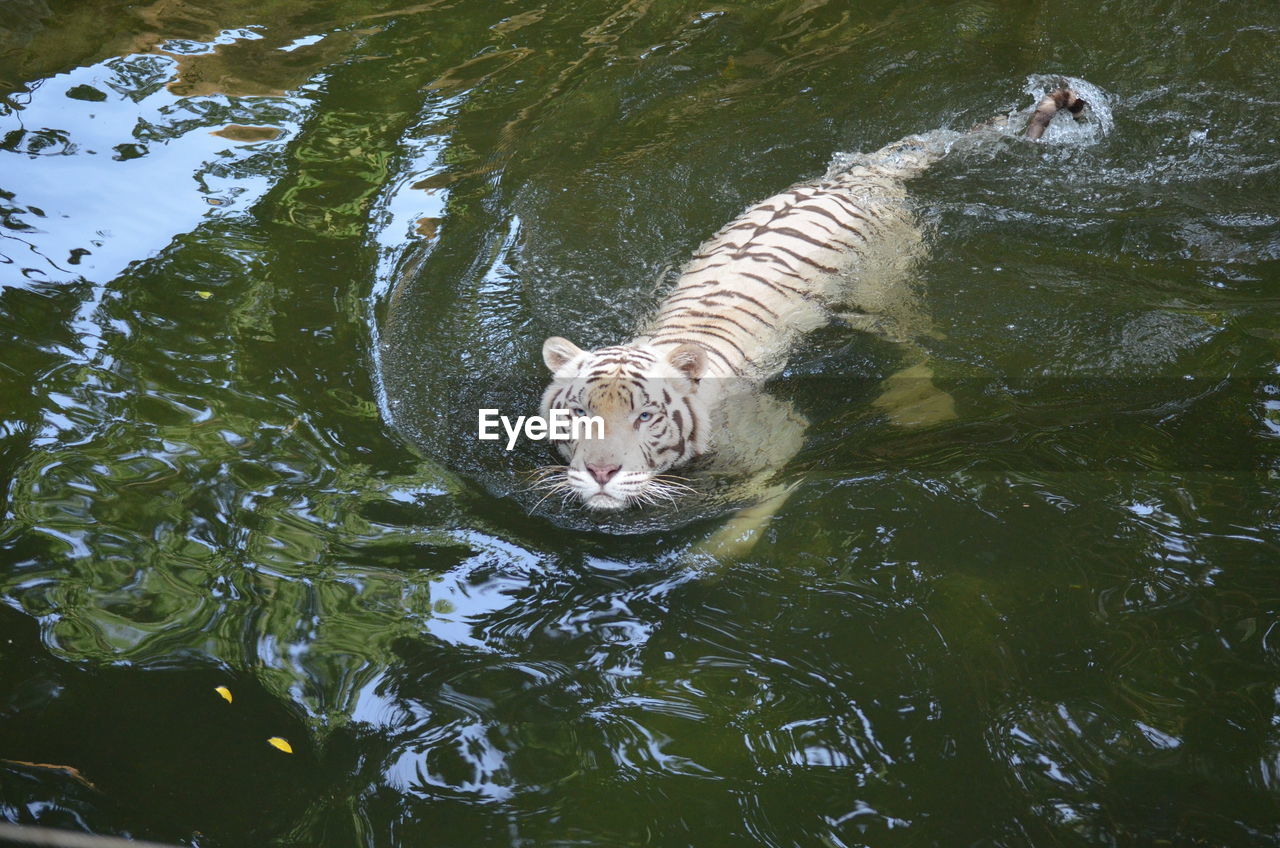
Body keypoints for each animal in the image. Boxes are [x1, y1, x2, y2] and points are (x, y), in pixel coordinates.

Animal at [537, 85, 1087, 512]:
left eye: (645, 417)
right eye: (580, 414)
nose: (601, 471)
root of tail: (857, 177)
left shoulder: (777, 438)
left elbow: (751, 510)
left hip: (881, 289)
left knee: (912, 341)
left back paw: (919, 403)